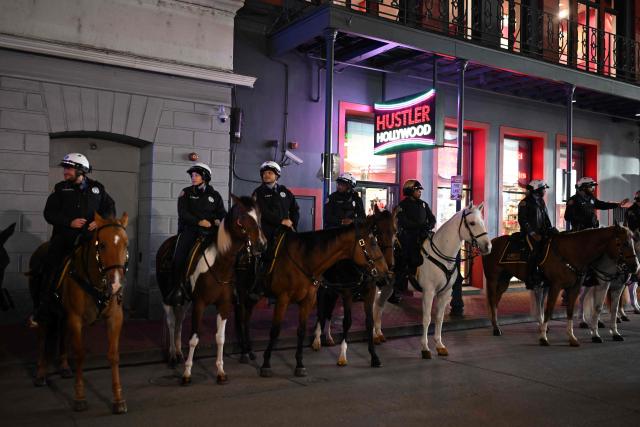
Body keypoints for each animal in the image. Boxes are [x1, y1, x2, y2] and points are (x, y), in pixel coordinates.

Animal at [28, 214, 130, 414]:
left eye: (125, 244)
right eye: (102, 245)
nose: (115, 285)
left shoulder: (114, 319)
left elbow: (113, 355)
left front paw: (118, 399)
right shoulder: (75, 319)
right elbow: (80, 355)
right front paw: (80, 398)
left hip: (62, 315)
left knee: (61, 334)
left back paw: (64, 367)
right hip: (43, 310)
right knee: (42, 338)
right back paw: (41, 373)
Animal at [250, 216, 390, 376]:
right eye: (373, 243)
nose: (386, 274)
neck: (304, 259)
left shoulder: (366, 293)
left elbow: (302, 330)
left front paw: (374, 357)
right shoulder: (283, 299)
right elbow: (275, 330)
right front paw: (266, 364)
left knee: (326, 313)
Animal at [310, 206, 396, 366]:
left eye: (395, 231)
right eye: (377, 230)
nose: (389, 263)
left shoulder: (370, 292)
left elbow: (369, 321)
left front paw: (374, 355)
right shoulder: (347, 293)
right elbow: (347, 321)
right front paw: (342, 355)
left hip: (333, 291)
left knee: (329, 312)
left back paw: (328, 337)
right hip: (322, 289)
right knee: (321, 312)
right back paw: (317, 340)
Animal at [370, 204, 490, 358]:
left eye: (482, 222)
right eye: (472, 223)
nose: (488, 246)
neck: (442, 255)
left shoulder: (445, 293)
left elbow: (439, 318)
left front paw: (439, 345)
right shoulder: (428, 292)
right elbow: (426, 319)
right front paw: (425, 348)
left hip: (389, 286)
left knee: (379, 305)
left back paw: (379, 334)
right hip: (378, 284)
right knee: (374, 305)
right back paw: (374, 335)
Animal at [482, 226, 636, 346]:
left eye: (632, 242)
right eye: (623, 243)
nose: (635, 266)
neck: (572, 251)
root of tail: (492, 243)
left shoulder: (574, 288)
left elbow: (571, 311)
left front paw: (572, 337)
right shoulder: (556, 286)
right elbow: (549, 309)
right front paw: (543, 338)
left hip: (504, 280)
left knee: (496, 301)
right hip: (493, 279)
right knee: (492, 301)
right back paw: (496, 328)